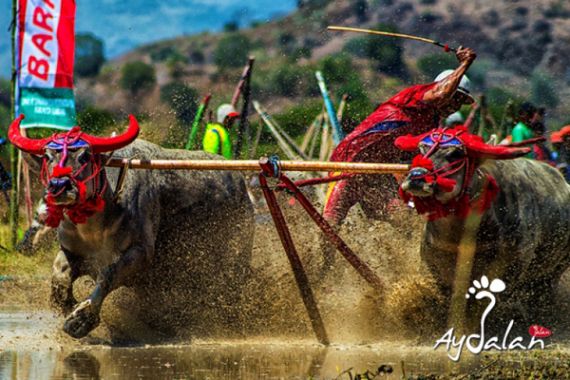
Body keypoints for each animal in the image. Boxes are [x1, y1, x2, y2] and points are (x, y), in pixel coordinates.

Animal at [8, 115, 253, 338]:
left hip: (236, 257)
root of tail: (241, 185)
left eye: (85, 156)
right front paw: (69, 304)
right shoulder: (71, 251)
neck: (95, 225)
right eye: (48, 156)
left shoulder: (141, 253)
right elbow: (59, 276)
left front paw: (82, 319)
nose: (59, 185)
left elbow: (108, 274)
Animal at [394, 126, 568, 322]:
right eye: (422, 149)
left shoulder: (514, 262)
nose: (416, 177)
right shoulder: (434, 262)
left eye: (456, 154)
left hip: (554, 271)